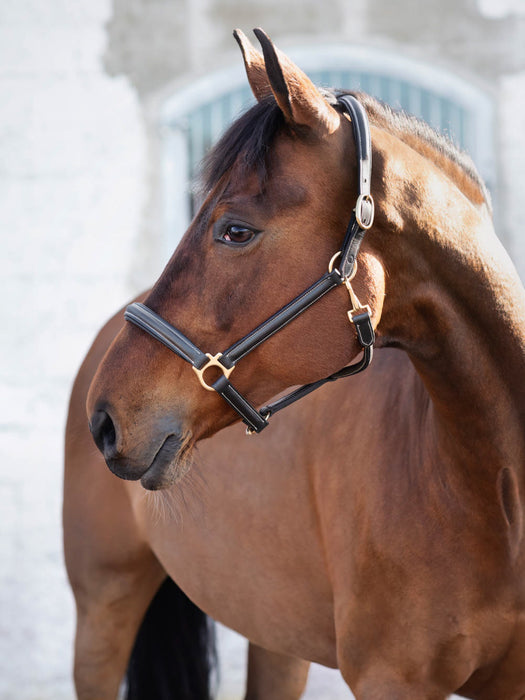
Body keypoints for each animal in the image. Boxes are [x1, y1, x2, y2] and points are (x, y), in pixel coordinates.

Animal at [64, 27, 524, 700]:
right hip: (103, 606)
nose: (105, 419)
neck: (492, 491)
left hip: (273, 631)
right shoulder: (390, 678)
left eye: (235, 230)